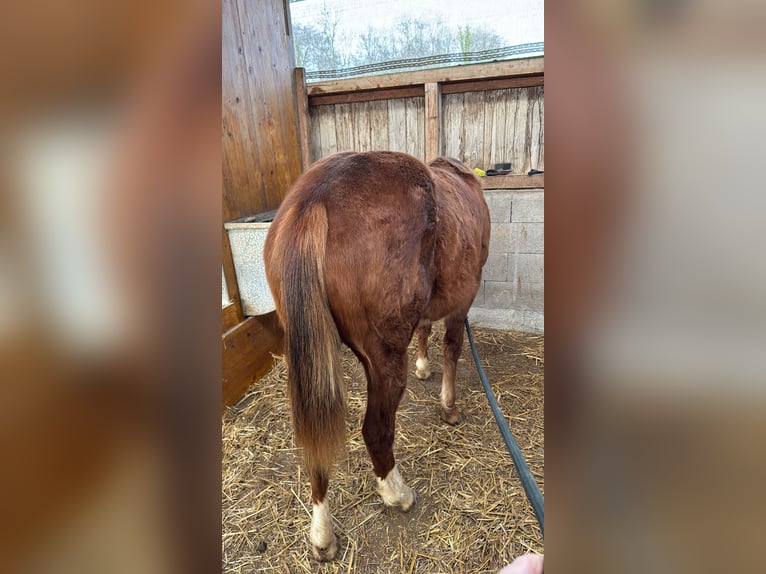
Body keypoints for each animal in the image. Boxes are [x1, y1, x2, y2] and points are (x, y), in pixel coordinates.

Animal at [264, 151, 490, 561]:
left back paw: (322, 534)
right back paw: (397, 494)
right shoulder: (463, 301)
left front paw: (424, 367)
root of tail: (315, 198)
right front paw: (448, 407)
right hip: (384, 360)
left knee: (315, 443)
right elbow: (452, 349)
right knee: (376, 430)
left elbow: (425, 330)